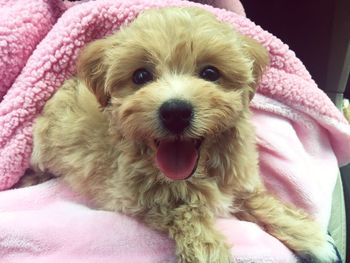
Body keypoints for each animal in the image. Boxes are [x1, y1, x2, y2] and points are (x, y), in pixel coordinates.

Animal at [30, 6, 336, 263]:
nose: (175, 112)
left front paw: (310, 237)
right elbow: (189, 216)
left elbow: (259, 200)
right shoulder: (140, 198)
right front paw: (211, 253)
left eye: (210, 73)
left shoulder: (237, 177)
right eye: (140, 76)